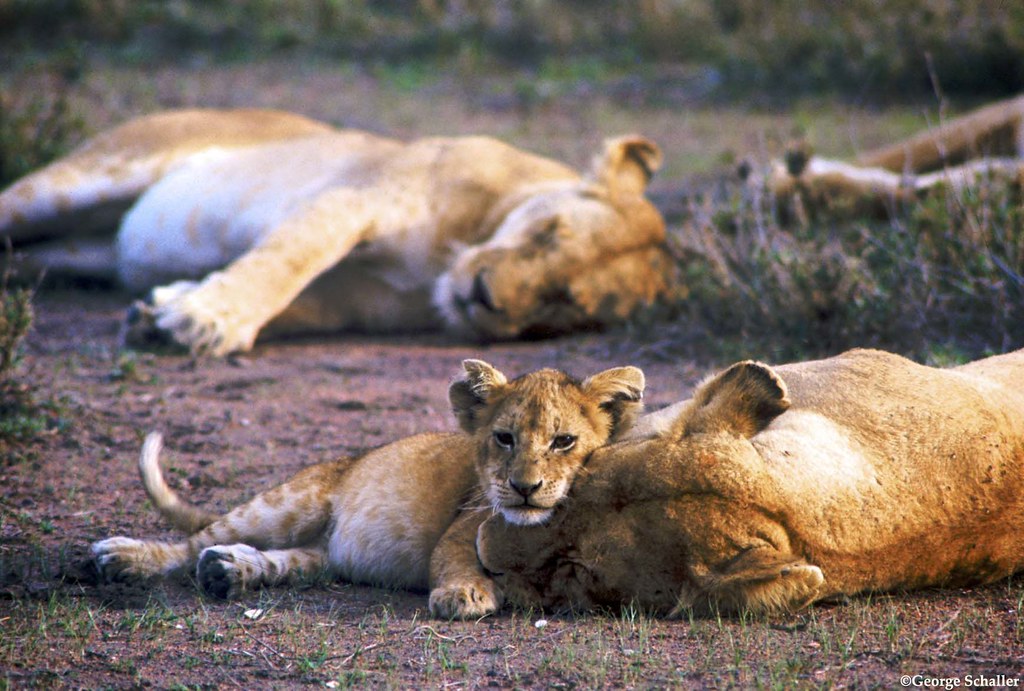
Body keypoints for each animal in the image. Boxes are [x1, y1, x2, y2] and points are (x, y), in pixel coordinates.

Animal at [2, 109, 679, 356]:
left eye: (561, 302)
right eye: (549, 232)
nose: (483, 296)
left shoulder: (353, 300)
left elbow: (294, 304)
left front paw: (164, 313)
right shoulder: (354, 199)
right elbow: (286, 263)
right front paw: (203, 319)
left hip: (79, 252)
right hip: (80, 181)